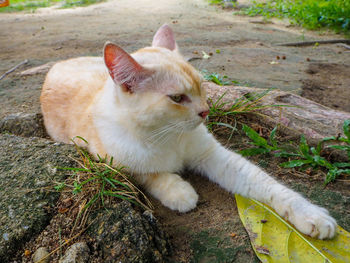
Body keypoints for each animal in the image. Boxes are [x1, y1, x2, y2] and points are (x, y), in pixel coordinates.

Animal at [41, 23, 336, 240]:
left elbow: (265, 182)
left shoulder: (214, 156)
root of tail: (58, 63)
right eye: (177, 98)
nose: (205, 112)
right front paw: (178, 191)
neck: (167, 135)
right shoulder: (110, 161)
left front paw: (310, 214)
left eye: (201, 86)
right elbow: (149, 174)